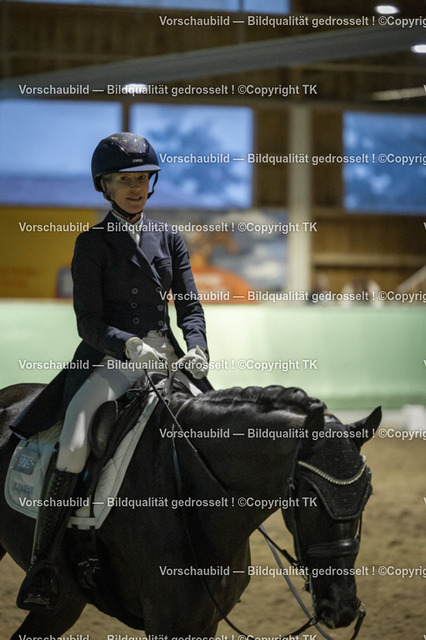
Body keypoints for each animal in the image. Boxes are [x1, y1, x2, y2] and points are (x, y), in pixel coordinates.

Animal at [0, 381, 381, 640]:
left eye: (367, 495)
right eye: (309, 497)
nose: (342, 608)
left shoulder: (205, 622)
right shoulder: (166, 624)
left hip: (64, 604)